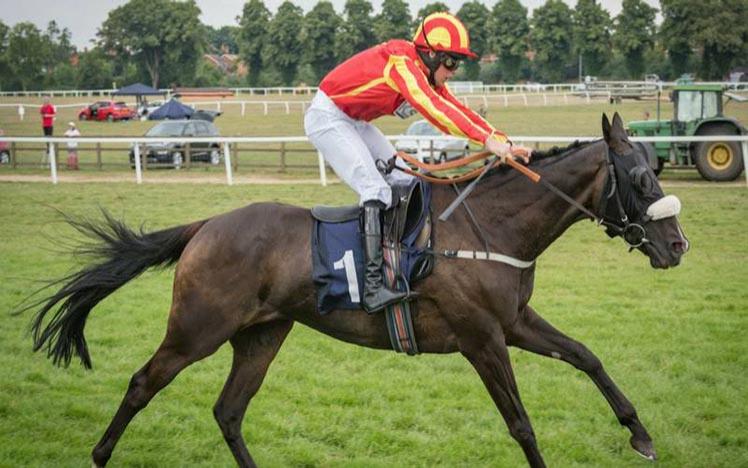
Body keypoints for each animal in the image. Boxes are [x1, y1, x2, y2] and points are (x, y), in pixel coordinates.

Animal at [26, 114, 688, 468]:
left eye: (657, 167)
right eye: (639, 178)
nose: (678, 245)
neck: (489, 226)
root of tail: (206, 225)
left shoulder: (514, 322)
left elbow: (586, 356)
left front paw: (639, 433)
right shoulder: (482, 338)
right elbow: (521, 422)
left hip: (261, 334)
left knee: (229, 410)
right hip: (197, 329)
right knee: (143, 383)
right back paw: (99, 455)